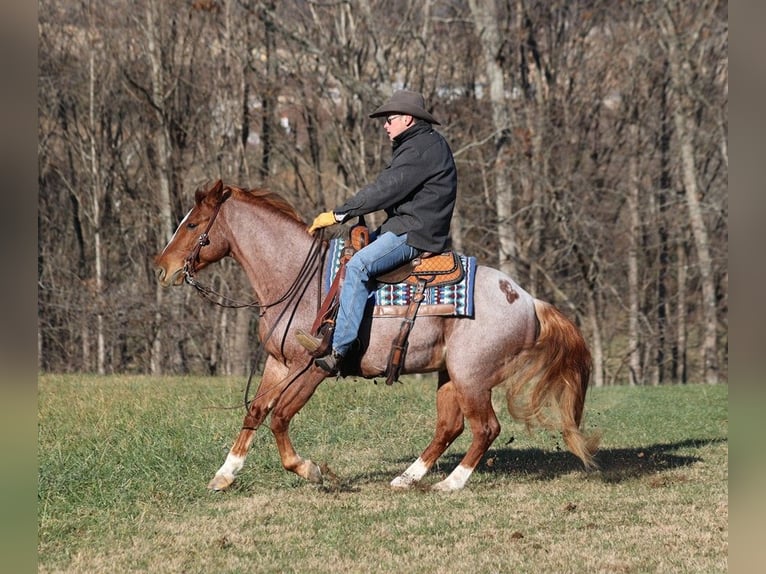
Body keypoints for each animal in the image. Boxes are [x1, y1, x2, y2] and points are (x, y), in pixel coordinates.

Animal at [154, 181, 600, 496]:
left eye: (193, 224)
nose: (162, 268)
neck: (298, 278)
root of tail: (527, 299)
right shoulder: (279, 363)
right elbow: (256, 411)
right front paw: (224, 474)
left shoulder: (312, 368)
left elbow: (279, 416)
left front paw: (312, 471)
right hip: (450, 376)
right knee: (449, 427)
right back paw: (407, 477)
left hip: (472, 377)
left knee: (485, 428)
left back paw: (450, 483)